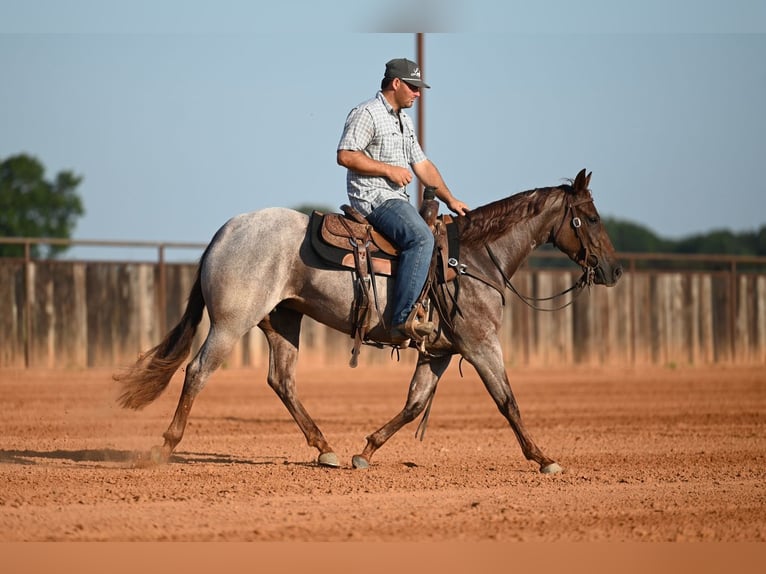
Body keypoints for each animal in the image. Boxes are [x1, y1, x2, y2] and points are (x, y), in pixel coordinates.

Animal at [114, 168, 622, 474]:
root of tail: (225, 232)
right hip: (230, 323)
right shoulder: (481, 345)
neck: (473, 259)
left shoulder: (440, 352)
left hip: (283, 321)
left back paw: (326, 448)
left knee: (282, 381)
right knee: (198, 371)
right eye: (593, 217)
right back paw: (165, 447)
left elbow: (415, 404)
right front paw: (544, 458)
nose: (615, 271)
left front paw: (367, 449)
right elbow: (508, 402)